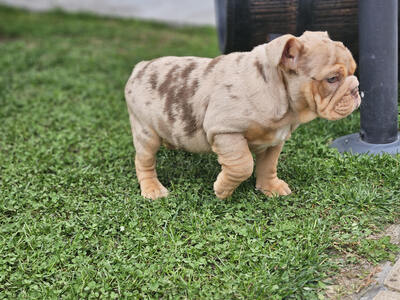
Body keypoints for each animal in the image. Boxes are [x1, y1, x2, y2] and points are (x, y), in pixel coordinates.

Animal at [126, 31, 360, 199]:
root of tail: (140, 67)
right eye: (332, 79)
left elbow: (268, 165)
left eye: (354, 71)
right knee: (144, 161)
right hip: (145, 132)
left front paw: (269, 187)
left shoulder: (275, 140)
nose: (357, 88)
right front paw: (223, 190)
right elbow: (243, 165)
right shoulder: (225, 131)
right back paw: (153, 189)